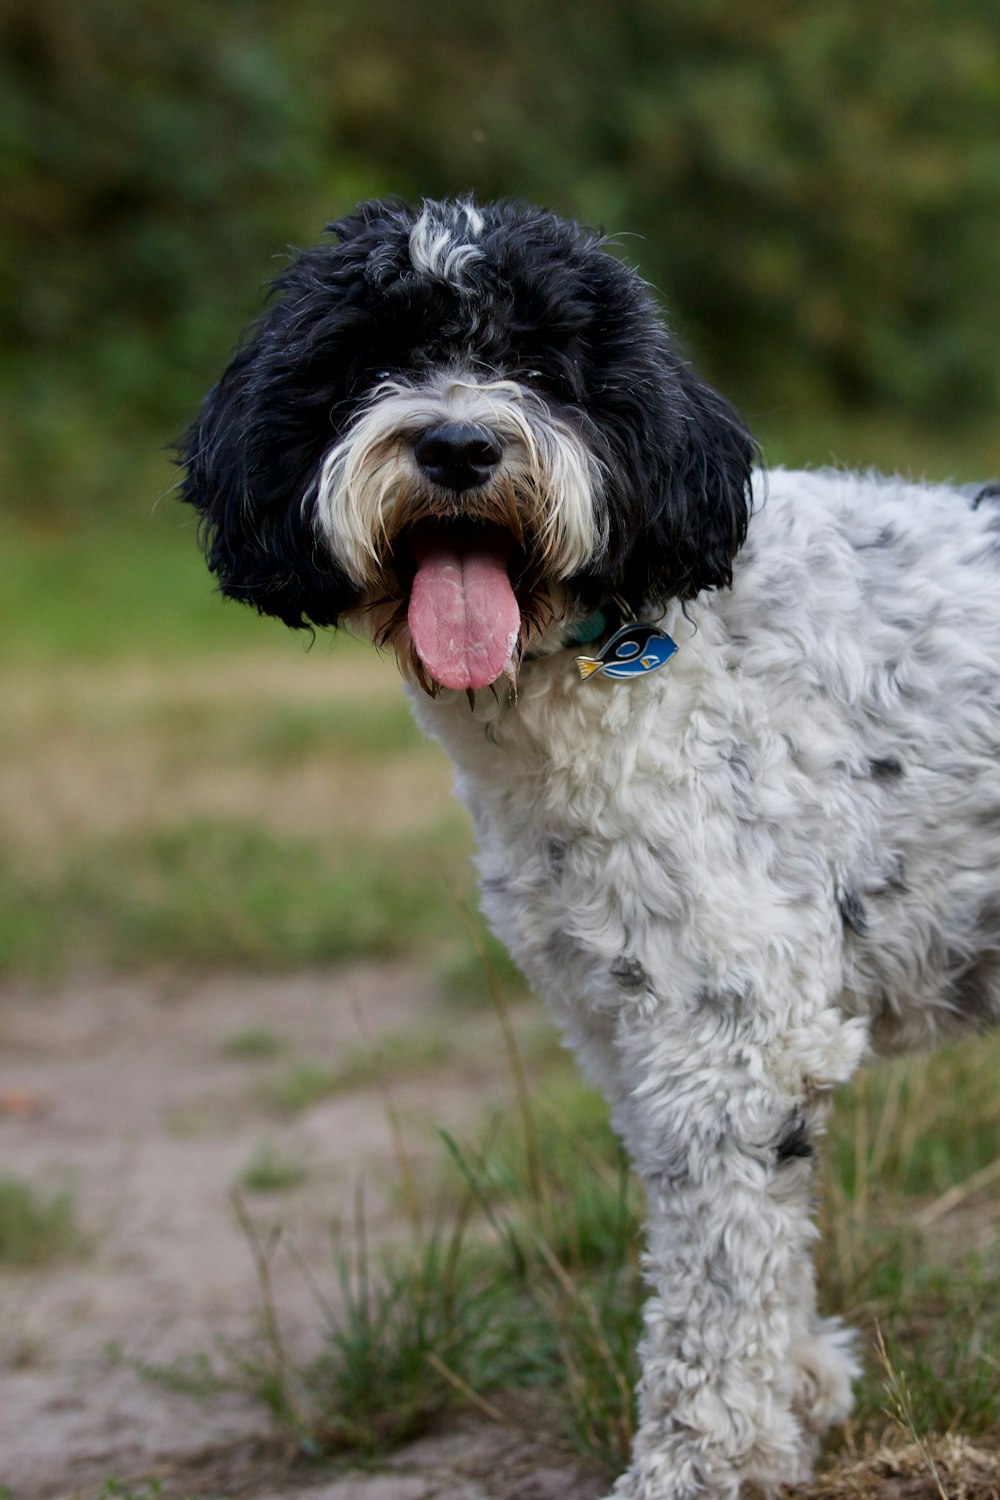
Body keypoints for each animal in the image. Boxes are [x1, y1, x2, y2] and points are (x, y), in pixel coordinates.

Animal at [182, 202, 1000, 1500]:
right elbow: (758, 1252)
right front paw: (797, 1402)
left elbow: (710, 1289)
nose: (459, 444)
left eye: (540, 364)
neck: (627, 642)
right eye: (372, 360)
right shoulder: (628, 1020)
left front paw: (702, 1460)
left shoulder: (728, 1040)